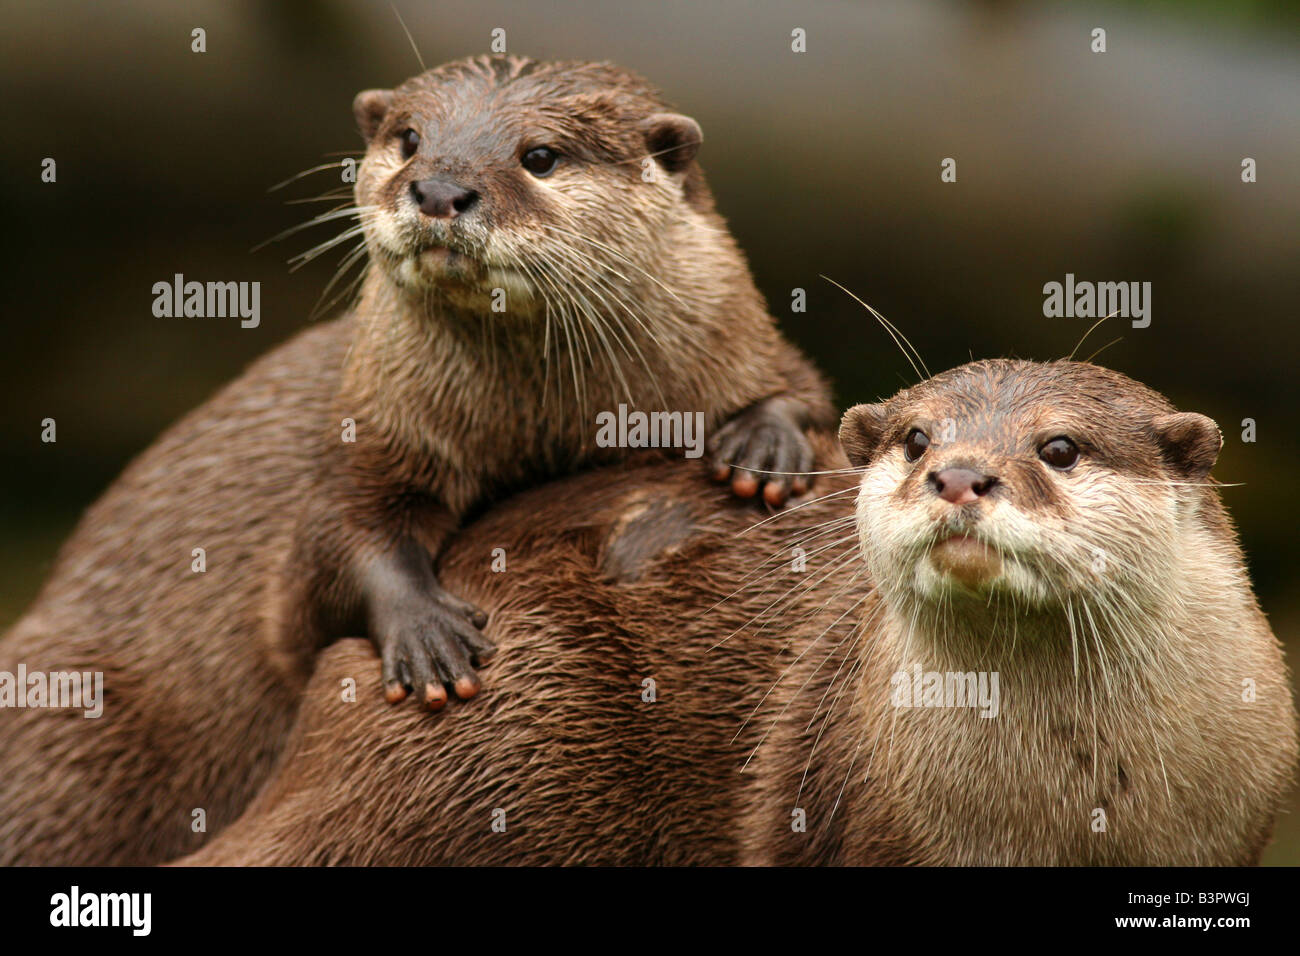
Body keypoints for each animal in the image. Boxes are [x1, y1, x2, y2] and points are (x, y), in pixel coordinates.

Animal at [0, 56, 833, 865]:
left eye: (540, 156)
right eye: (408, 139)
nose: (437, 189)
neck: (537, 426)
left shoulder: (734, 336)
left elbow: (802, 389)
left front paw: (765, 444)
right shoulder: (375, 426)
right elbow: (336, 542)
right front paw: (425, 629)